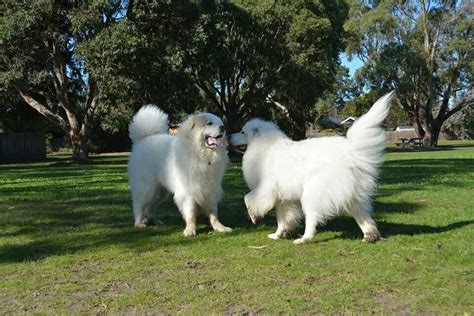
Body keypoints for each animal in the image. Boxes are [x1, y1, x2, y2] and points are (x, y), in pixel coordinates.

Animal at [128, 105, 231, 236]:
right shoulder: (188, 191)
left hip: (160, 192)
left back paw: (154, 220)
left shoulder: (210, 189)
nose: (223, 127)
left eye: (220, 123)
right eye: (209, 123)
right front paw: (190, 230)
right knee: (139, 204)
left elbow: (214, 213)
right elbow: (191, 213)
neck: (201, 155)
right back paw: (139, 223)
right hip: (146, 187)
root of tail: (144, 138)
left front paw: (220, 227)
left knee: (151, 206)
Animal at [231, 91, 394, 244]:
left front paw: (253, 216)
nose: (229, 135)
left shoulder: (266, 188)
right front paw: (277, 235)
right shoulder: (283, 199)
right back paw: (370, 236)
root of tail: (350, 150)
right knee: (364, 217)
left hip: (312, 194)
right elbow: (282, 220)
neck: (264, 146)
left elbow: (248, 198)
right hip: (352, 196)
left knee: (312, 219)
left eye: (242, 132)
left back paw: (304, 239)